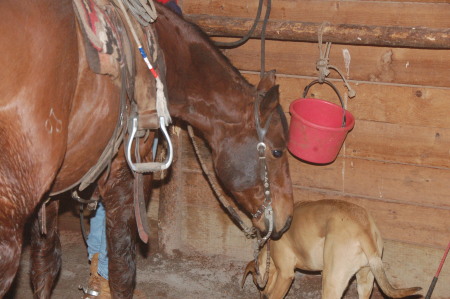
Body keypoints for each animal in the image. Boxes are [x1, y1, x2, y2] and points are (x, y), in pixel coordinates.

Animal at [0, 1, 294, 298]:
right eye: (277, 151)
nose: (287, 219)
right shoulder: (126, 175)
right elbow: (122, 271)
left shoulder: (51, 194)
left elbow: (45, 266)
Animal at [243, 199, 422, 299]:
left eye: (255, 283)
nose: (262, 295)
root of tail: (363, 228)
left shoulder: (285, 275)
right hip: (365, 280)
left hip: (332, 282)